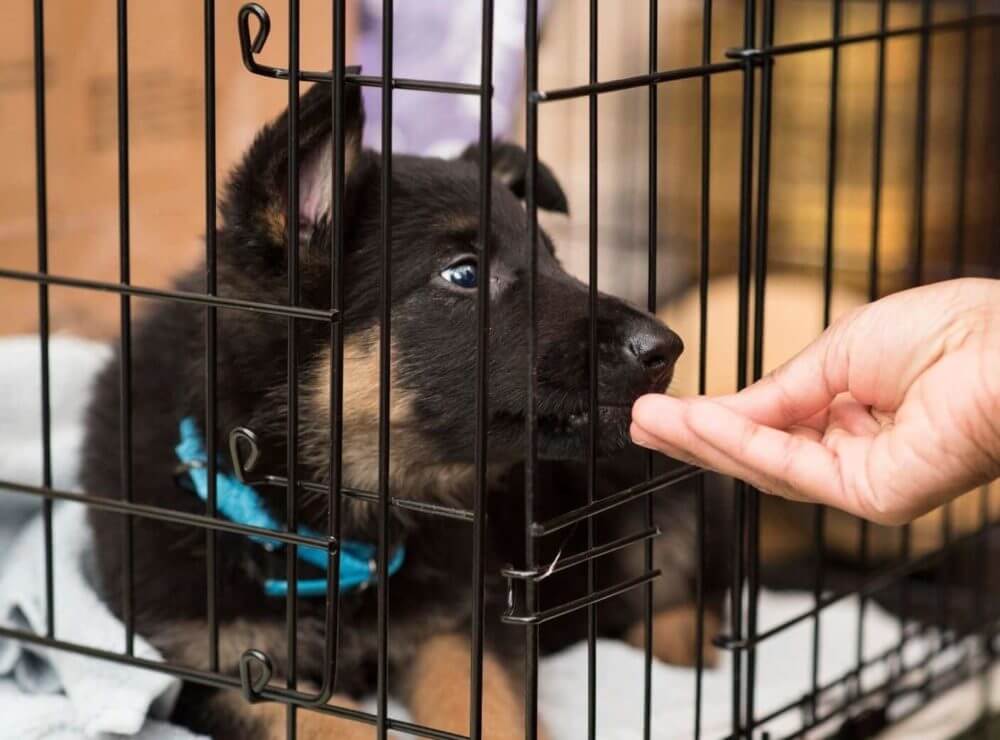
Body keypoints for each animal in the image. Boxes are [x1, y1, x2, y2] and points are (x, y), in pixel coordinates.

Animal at [82, 82, 732, 740]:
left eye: (556, 262)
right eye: (464, 273)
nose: (666, 349)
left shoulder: (461, 624)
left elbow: (492, 709)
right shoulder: (215, 666)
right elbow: (324, 723)